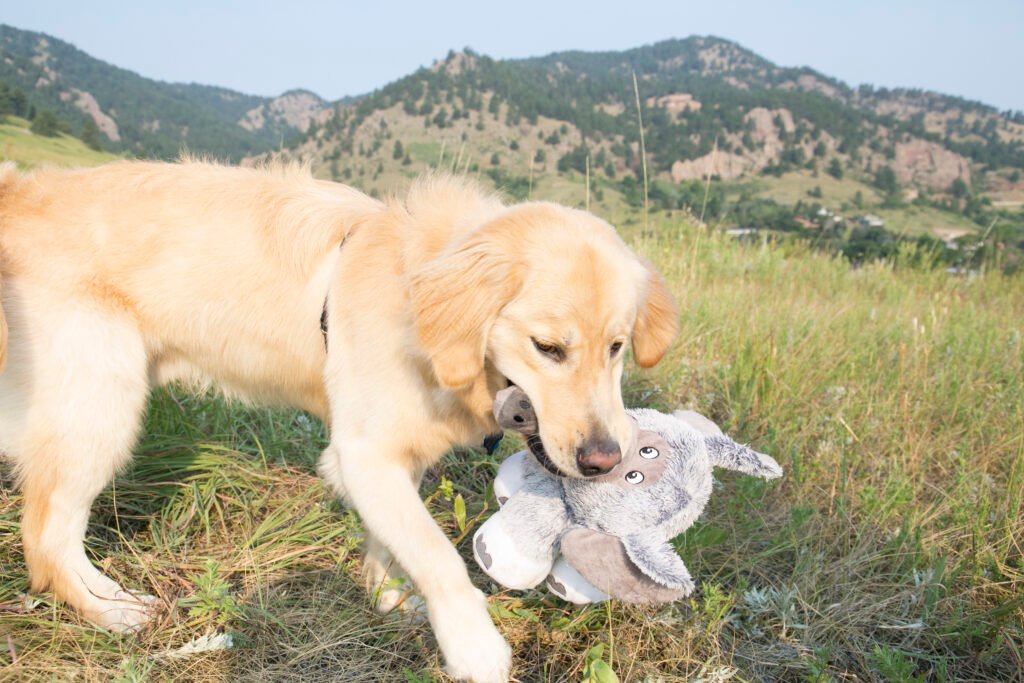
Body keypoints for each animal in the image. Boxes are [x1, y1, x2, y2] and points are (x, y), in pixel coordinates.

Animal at [0, 159, 677, 682]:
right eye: (548, 348)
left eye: (617, 347)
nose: (603, 460)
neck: (417, 304)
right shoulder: (363, 452)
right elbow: (436, 553)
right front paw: (474, 645)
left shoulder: (392, 457)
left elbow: (388, 540)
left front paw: (385, 598)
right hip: (101, 404)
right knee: (46, 534)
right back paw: (110, 611)